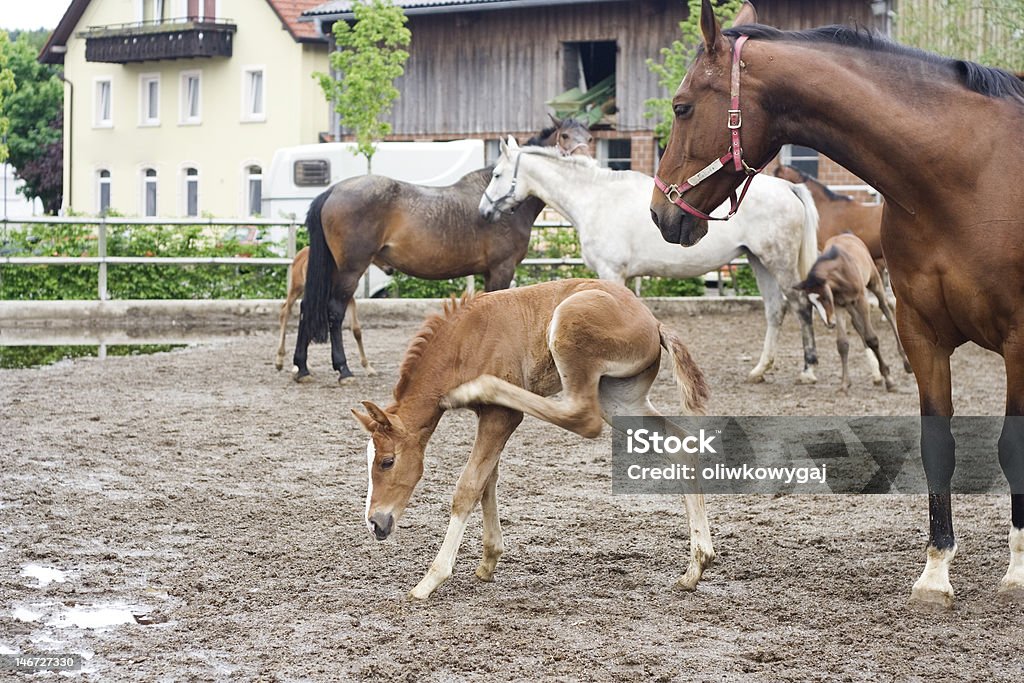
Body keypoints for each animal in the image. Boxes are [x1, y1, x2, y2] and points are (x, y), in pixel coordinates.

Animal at [288, 118, 593, 385]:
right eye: (564, 136)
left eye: (590, 138)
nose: (587, 163)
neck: (501, 201)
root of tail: (333, 191)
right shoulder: (501, 269)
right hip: (350, 269)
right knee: (334, 311)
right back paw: (344, 370)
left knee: (306, 307)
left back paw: (302, 367)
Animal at [352, 278, 712, 598]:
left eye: (387, 461)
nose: (375, 524)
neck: (465, 341)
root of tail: (653, 321)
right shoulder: (489, 421)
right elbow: (488, 479)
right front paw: (488, 560)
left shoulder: (501, 417)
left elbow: (469, 487)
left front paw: (430, 580)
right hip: (619, 398)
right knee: (680, 444)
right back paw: (696, 566)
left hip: (570, 330)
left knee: (582, 417)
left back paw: (479, 387)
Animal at [479, 137, 823, 385]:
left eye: (496, 174)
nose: (484, 212)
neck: (595, 199)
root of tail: (788, 187)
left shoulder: (611, 272)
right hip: (759, 261)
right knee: (775, 310)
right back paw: (760, 370)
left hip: (778, 261)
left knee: (801, 306)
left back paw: (808, 370)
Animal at [794, 235, 909, 393]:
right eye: (812, 303)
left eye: (824, 297)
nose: (829, 323)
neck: (841, 272)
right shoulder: (838, 306)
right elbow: (842, 344)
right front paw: (844, 384)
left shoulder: (861, 299)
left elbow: (872, 339)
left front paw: (889, 380)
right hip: (849, 305)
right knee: (857, 323)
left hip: (874, 282)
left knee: (886, 309)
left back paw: (906, 362)